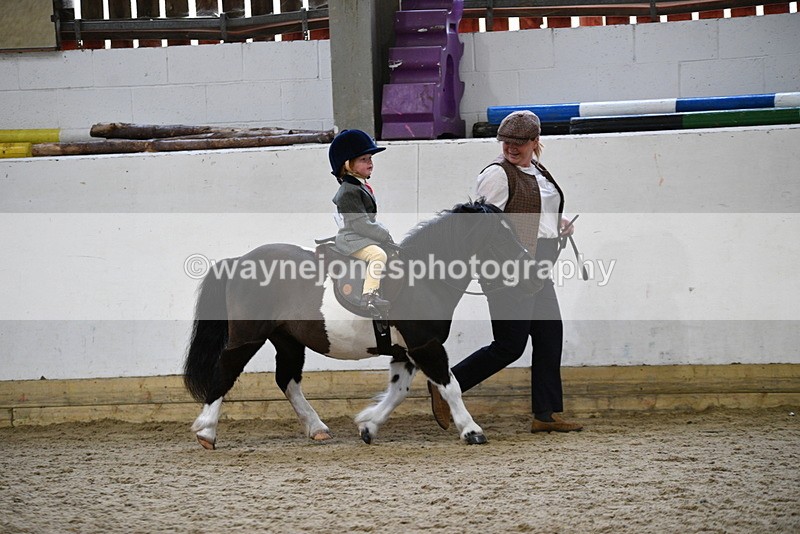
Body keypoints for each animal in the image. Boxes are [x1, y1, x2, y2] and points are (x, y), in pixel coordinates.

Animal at [183, 199, 540, 448]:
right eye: (500, 237)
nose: (533, 273)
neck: (424, 278)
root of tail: (238, 261)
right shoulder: (426, 345)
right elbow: (450, 385)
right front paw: (471, 431)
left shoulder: (405, 351)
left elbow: (399, 391)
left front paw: (368, 426)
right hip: (247, 336)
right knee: (226, 371)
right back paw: (206, 431)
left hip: (287, 339)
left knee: (287, 379)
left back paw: (317, 429)